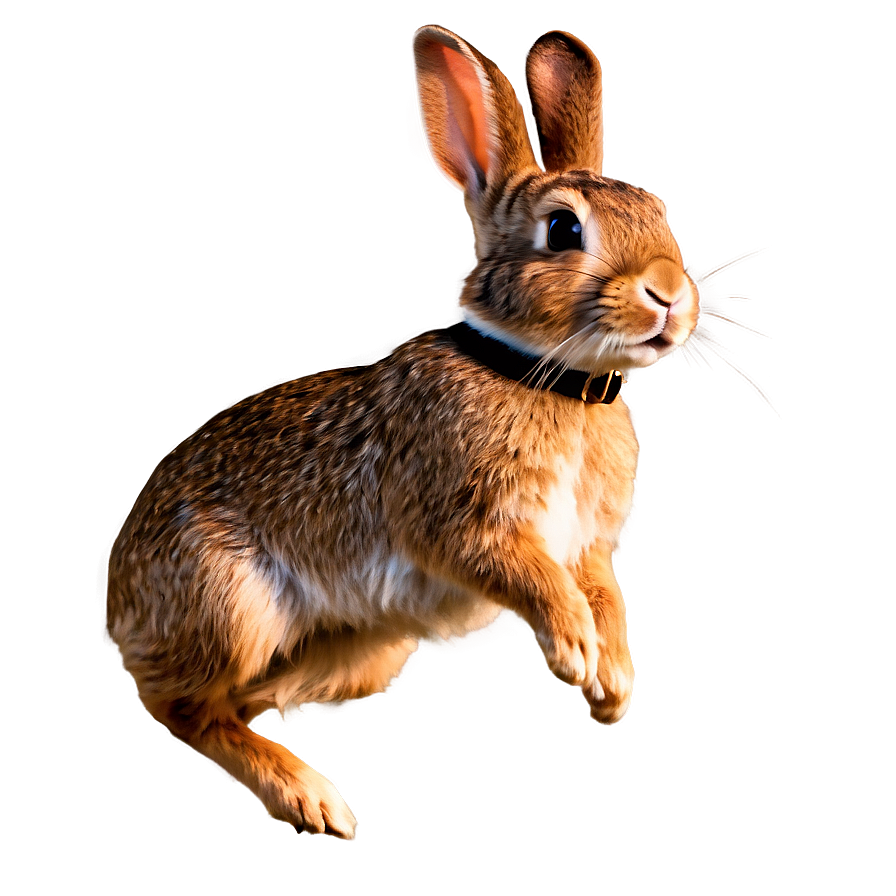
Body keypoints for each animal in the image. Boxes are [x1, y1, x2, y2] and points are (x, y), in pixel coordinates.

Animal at [107, 25, 699, 839]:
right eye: (564, 229)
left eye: (657, 211)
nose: (669, 294)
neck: (539, 372)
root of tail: (118, 601)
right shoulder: (465, 522)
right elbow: (533, 578)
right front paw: (574, 650)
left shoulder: (589, 546)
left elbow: (604, 593)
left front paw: (614, 682)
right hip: (229, 604)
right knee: (182, 707)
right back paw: (311, 798)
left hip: (362, 654)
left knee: (242, 701)